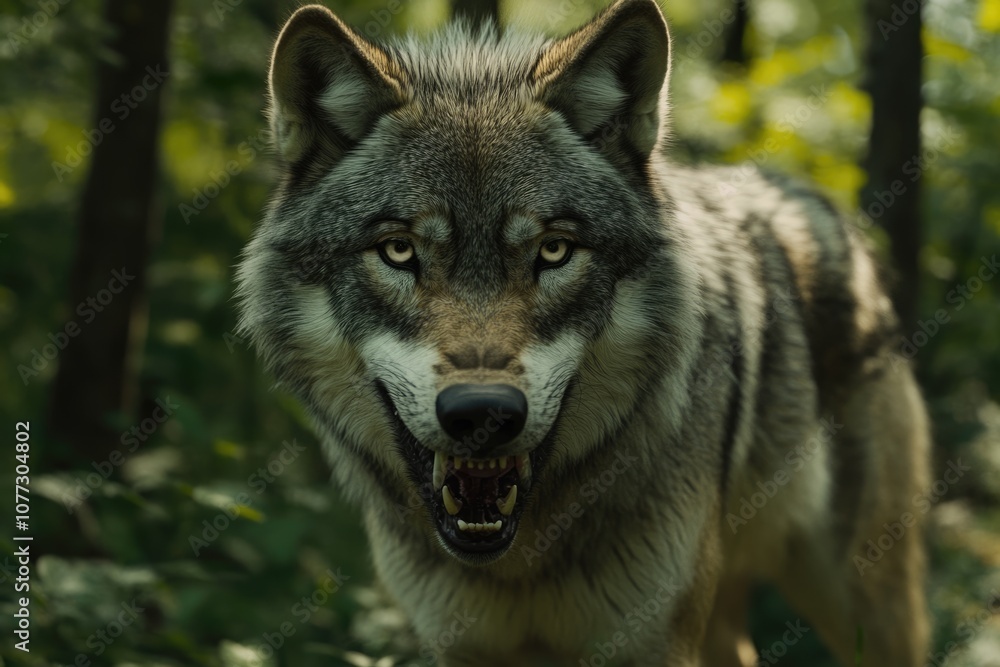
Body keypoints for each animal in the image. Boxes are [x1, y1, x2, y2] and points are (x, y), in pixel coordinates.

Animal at [235, 0, 931, 664]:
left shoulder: (655, 645)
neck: (520, 565)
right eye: (399, 251)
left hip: (865, 606)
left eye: (554, 250)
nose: (482, 415)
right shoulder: (463, 647)